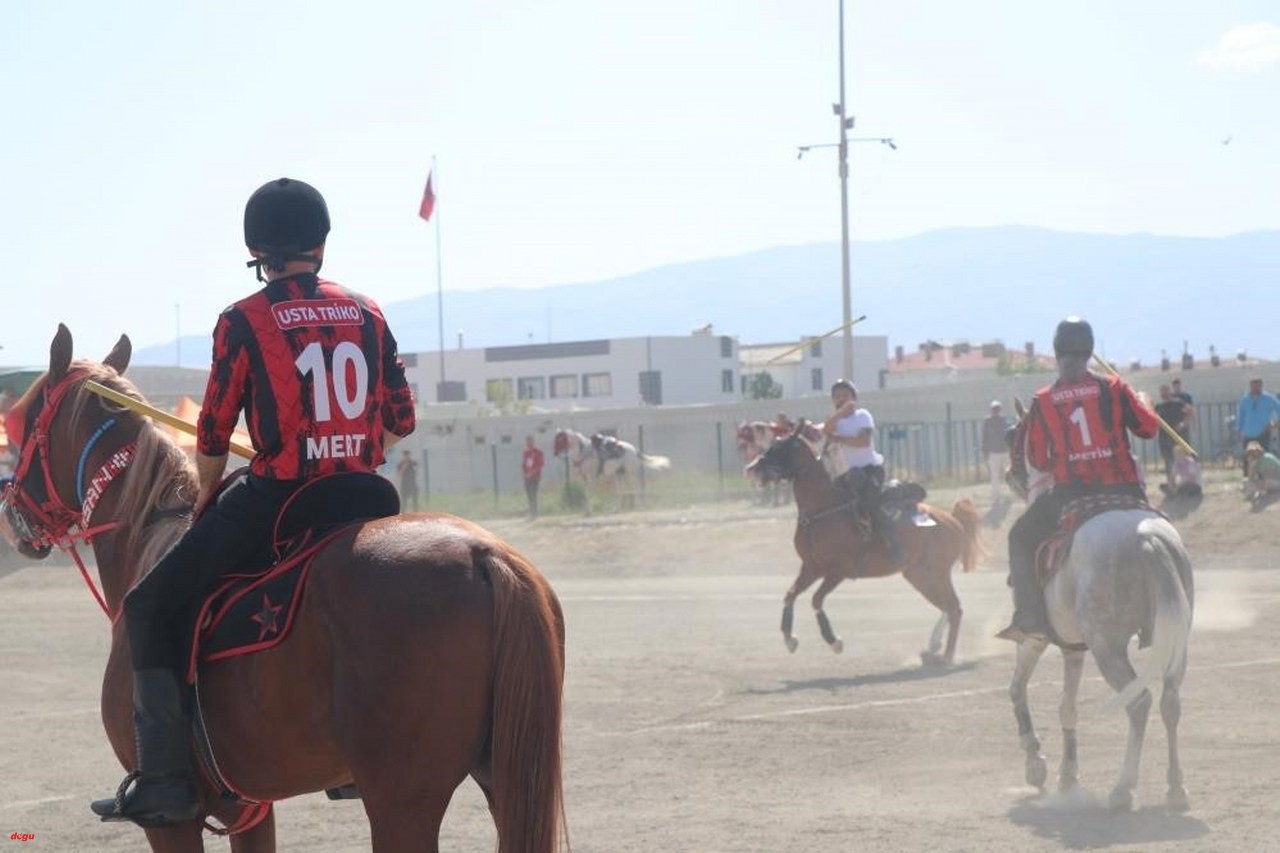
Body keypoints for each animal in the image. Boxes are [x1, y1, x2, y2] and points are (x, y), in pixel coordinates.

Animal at [0, 325, 565, 850]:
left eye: (25, 418)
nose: (11, 508)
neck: (147, 541)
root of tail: (485, 555)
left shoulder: (170, 824)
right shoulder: (250, 809)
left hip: (402, 800)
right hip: (502, 780)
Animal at [747, 422, 983, 660]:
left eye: (781, 447)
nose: (752, 467)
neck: (822, 510)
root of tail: (953, 520)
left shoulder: (837, 571)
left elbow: (816, 600)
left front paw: (834, 642)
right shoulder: (811, 568)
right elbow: (790, 595)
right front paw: (789, 639)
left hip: (936, 572)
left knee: (954, 608)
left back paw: (947, 656)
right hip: (918, 575)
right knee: (947, 607)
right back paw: (935, 646)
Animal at [1003, 422, 1192, 809]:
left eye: (1016, 437)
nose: (1008, 474)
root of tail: (1147, 539)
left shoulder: (1034, 640)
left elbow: (1017, 688)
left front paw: (1036, 764)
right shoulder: (1073, 648)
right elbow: (1067, 707)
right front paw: (1068, 774)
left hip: (1108, 647)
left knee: (1139, 703)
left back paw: (1122, 790)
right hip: (1176, 642)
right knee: (1169, 701)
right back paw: (1176, 788)